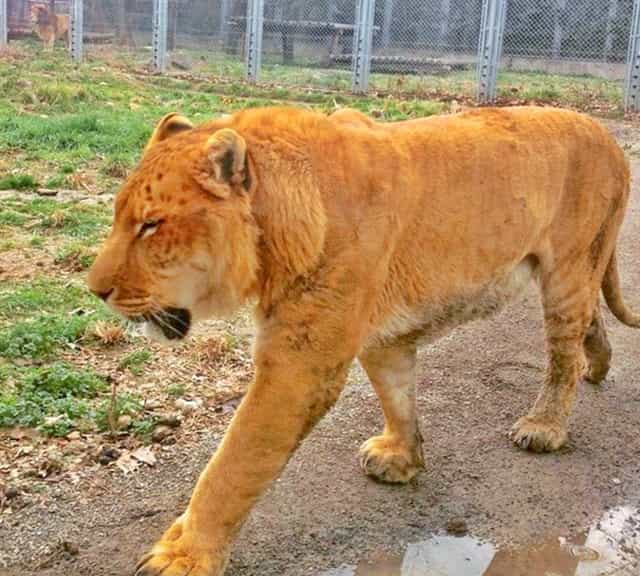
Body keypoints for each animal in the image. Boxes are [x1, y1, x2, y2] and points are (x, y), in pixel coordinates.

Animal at [87, 106, 636, 572]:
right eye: (118, 217)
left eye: (151, 225)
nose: (95, 290)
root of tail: (607, 133)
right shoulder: (380, 337)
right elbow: (397, 395)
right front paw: (403, 458)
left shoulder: (301, 365)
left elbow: (232, 465)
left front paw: (183, 556)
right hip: (575, 272)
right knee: (589, 319)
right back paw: (600, 364)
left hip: (567, 270)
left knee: (562, 353)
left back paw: (544, 426)